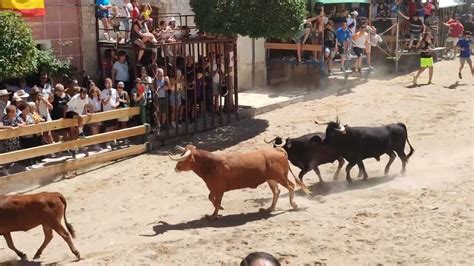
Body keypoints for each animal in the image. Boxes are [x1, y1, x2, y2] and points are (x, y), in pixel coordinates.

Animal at [170, 144, 312, 219]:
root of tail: (278, 150)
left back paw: (294, 205)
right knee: (276, 191)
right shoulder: (214, 188)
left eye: (184, 158)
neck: (211, 165)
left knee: (290, 187)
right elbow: (211, 198)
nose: (176, 167)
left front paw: (214, 215)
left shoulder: (219, 188)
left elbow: (216, 201)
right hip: (271, 179)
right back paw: (271, 208)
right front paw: (220, 208)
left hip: (281, 177)